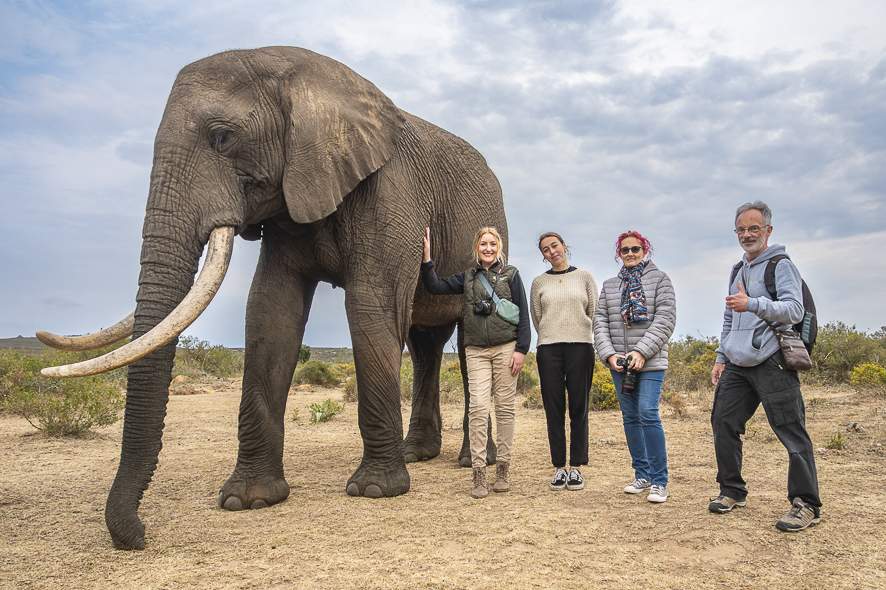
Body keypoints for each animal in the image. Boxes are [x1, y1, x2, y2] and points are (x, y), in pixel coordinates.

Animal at [38, 46, 507, 550]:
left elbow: (370, 307)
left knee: (465, 346)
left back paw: (467, 461)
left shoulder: (389, 192)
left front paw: (375, 490)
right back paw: (417, 453)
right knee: (424, 346)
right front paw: (247, 500)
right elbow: (269, 312)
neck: (304, 77)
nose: (139, 536)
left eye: (222, 138)